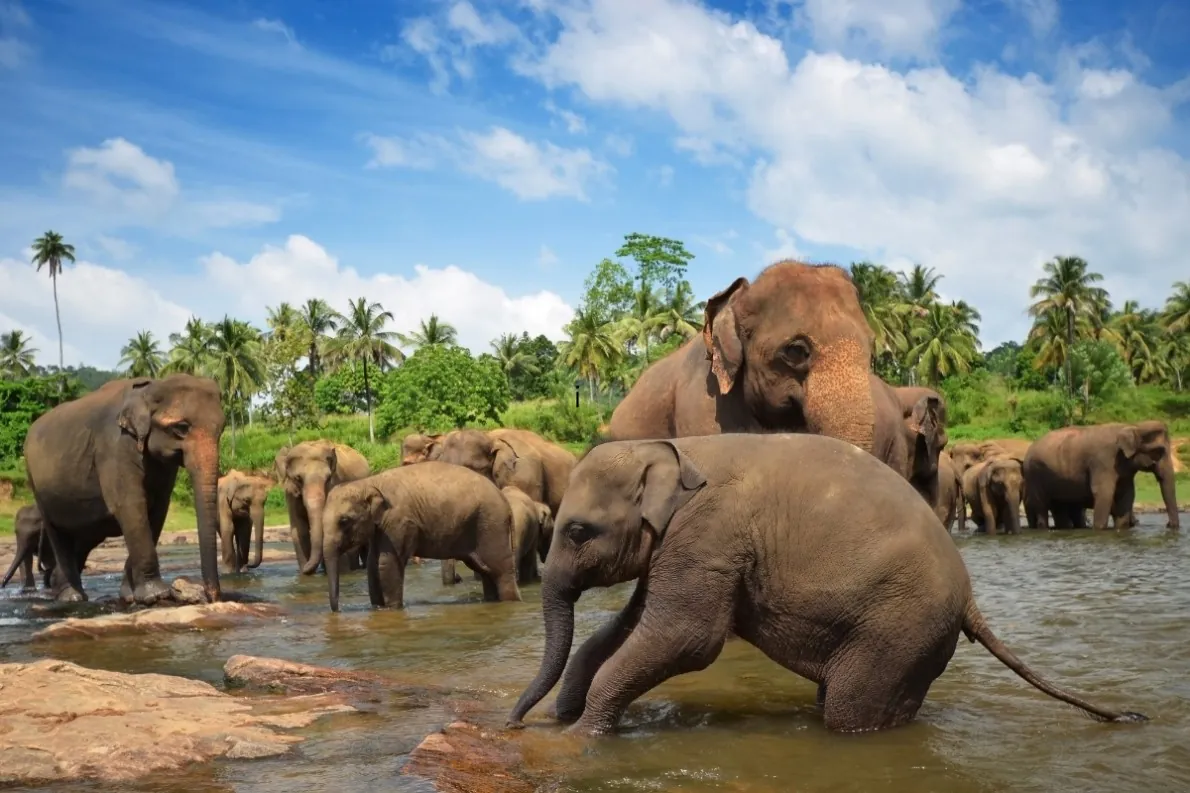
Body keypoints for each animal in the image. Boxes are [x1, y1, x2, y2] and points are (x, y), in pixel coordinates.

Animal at [23, 375, 225, 604]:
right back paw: (72, 597)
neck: (150, 389)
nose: (212, 597)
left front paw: (130, 596)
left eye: (222, 429)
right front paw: (156, 595)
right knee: (58, 535)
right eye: (181, 428)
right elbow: (131, 507)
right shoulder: (114, 447)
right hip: (36, 486)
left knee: (83, 538)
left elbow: (157, 511)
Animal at [274, 440, 371, 575]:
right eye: (298, 478)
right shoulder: (290, 494)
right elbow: (299, 530)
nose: (303, 569)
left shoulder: (336, 484)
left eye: (328, 478)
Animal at [319, 461, 522, 612]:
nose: (338, 610)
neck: (369, 482)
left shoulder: (399, 522)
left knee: (500, 570)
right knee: (486, 570)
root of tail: (505, 501)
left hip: (491, 525)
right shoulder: (380, 527)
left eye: (344, 521)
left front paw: (392, 609)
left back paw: (511, 602)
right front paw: (377, 608)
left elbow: (387, 563)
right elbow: (372, 564)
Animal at [506, 433, 1146, 736]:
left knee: (848, 711)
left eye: (579, 531)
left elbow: (686, 637)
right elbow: (633, 625)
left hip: (900, 627)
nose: (512, 722)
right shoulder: (681, 546)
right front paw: (567, 716)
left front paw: (583, 735)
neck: (674, 448)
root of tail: (970, 599)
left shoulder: (708, 535)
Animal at [1023, 421, 1179, 531]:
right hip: (1034, 475)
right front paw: (1099, 529)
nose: (1168, 525)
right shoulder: (1103, 462)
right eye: (1160, 451)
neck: (1133, 426)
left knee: (1059, 507)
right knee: (1042, 506)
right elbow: (1104, 493)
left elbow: (1126, 495)